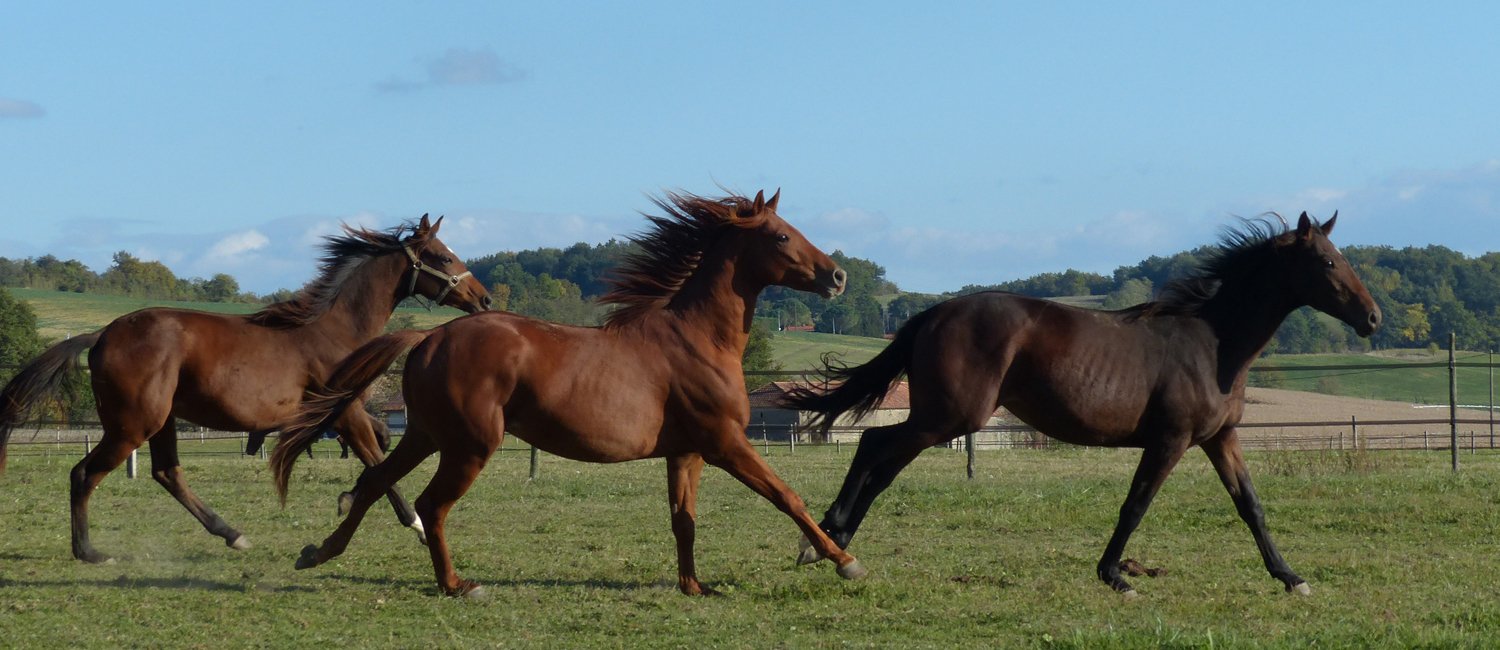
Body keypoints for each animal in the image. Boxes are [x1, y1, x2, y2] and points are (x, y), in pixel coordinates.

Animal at [0, 214, 490, 563]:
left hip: (161, 420)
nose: (483, 299)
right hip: (132, 425)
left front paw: (349, 497)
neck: (333, 331)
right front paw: (416, 525)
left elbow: (377, 451)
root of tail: (102, 334)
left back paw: (232, 535)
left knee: (167, 473)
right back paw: (89, 552)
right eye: (443, 256)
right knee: (84, 474)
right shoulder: (345, 410)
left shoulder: (341, 415)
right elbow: (378, 460)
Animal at [270, 190, 866, 597]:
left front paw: (694, 586)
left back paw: (319, 552)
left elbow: (684, 521)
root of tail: (431, 336)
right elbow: (788, 497)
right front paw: (842, 560)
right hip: (469, 446)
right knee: (429, 505)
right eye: (782, 235)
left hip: (425, 435)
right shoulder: (725, 444)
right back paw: (457, 585)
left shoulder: (686, 453)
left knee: (374, 484)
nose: (837, 277)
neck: (696, 339)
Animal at [785, 212, 1381, 596]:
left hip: (941, 419)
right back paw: (826, 541)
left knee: (882, 462)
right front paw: (1115, 576)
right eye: (1327, 262)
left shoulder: (1219, 438)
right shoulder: (1170, 441)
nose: (1373, 318)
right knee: (872, 443)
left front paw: (1291, 577)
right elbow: (1135, 505)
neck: (1212, 344)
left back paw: (832, 541)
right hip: (949, 417)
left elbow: (1250, 505)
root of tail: (934, 312)